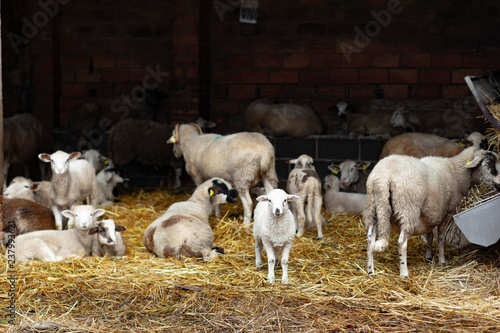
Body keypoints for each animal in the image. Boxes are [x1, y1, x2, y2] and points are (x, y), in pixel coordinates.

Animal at [364, 147, 500, 276]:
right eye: (490, 163)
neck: (456, 172)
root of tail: (382, 177)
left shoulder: (430, 214)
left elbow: (429, 235)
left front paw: (429, 256)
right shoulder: (447, 213)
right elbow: (441, 238)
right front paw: (442, 261)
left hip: (374, 208)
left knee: (370, 240)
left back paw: (370, 271)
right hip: (407, 209)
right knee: (402, 243)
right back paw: (404, 273)